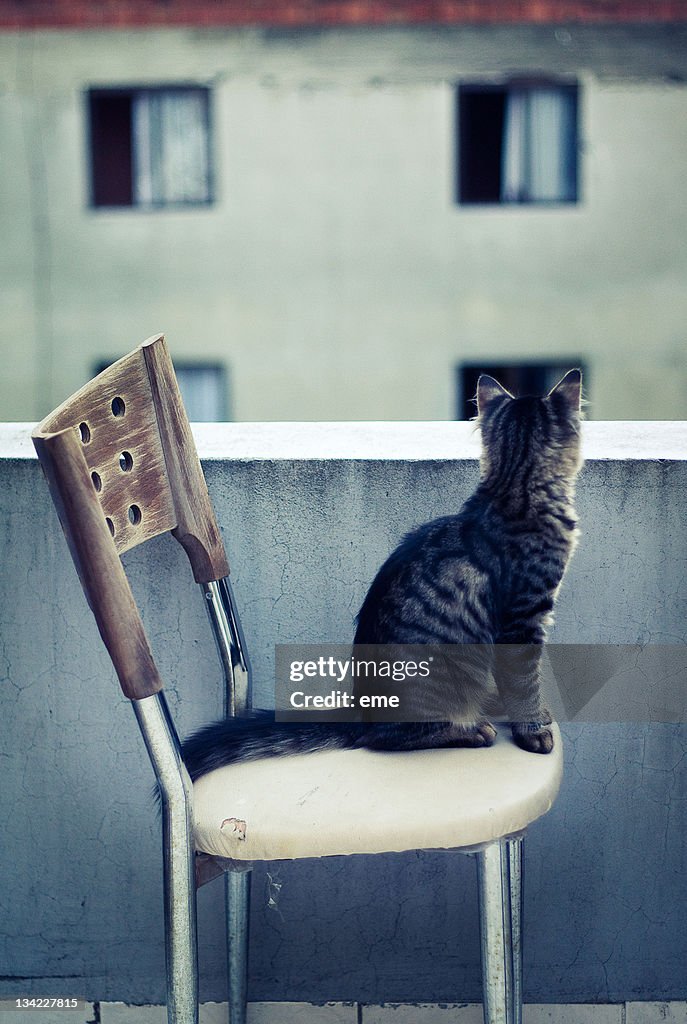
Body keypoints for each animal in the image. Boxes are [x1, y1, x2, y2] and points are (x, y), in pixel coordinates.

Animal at [181, 372, 581, 778]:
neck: (513, 491)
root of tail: (362, 710)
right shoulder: (523, 620)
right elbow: (524, 682)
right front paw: (533, 730)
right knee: (389, 739)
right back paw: (471, 730)